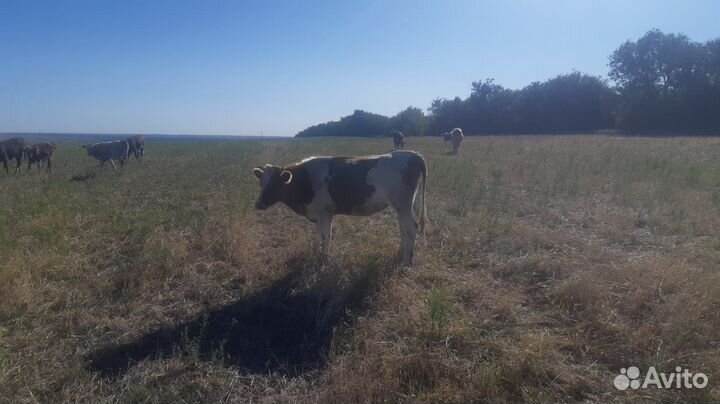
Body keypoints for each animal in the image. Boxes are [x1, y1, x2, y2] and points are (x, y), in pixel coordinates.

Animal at [253, 150, 428, 266]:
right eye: (261, 183)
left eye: (275, 184)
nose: (258, 204)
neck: (306, 180)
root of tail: (413, 154)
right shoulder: (319, 214)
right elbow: (317, 235)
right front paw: (315, 254)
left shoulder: (325, 213)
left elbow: (325, 236)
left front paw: (324, 259)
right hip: (401, 207)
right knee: (403, 229)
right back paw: (400, 254)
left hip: (403, 205)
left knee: (411, 228)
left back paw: (407, 263)